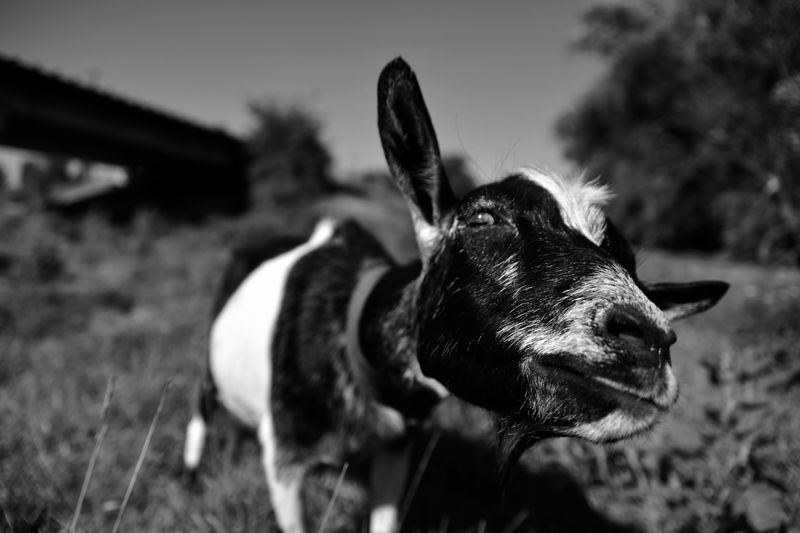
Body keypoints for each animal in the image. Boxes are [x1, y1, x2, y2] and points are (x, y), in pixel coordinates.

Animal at [182, 57, 728, 533]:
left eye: (630, 262)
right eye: (482, 218)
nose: (649, 339)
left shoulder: (397, 449)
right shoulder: (284, 458)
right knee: (201, 402)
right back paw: (189, 472)